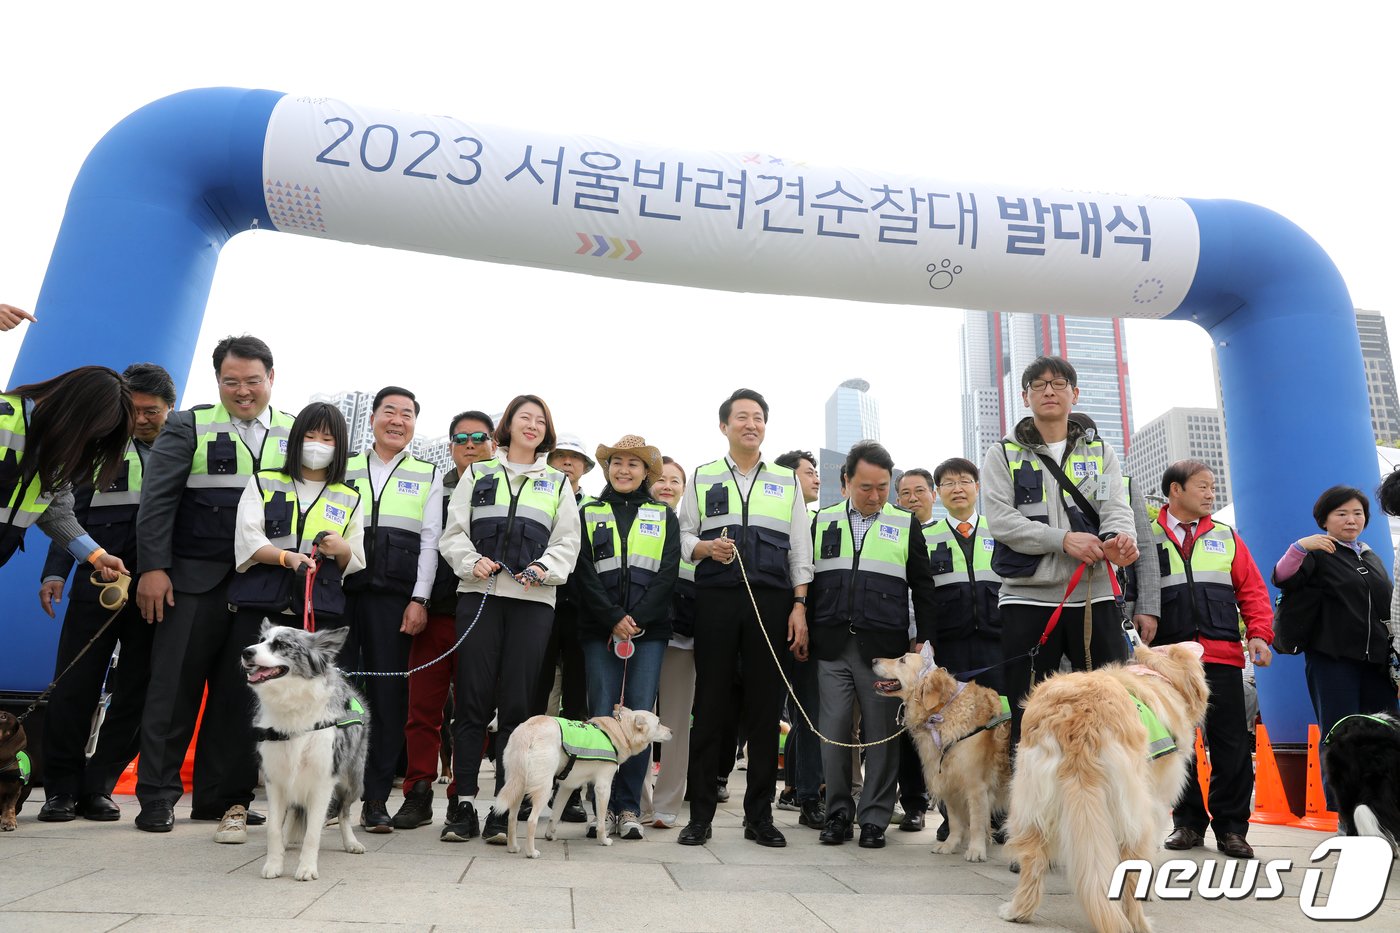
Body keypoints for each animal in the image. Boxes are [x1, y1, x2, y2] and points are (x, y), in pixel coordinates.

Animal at [495, 706, 674, 857]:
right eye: (658, 723)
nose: (672, 731)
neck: (620, 730)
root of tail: (527, 730)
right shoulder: (603, 787)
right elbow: (601, 821)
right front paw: (603, 840)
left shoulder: (566, 787)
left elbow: (556, 814)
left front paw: (550, 835)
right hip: (543, 789)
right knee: (532, 821)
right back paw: (531, 852)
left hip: (517, 785)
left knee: (512, 817)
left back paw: (512, 847)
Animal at [996, 638, 1215, 930]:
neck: (1157, 675)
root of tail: (1079, 721)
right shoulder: (1158, 804)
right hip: (1133, 811)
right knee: (1131, 869)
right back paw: (1137, 922)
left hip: (1030, 799)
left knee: (1033, 857)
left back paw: (1017, 912)